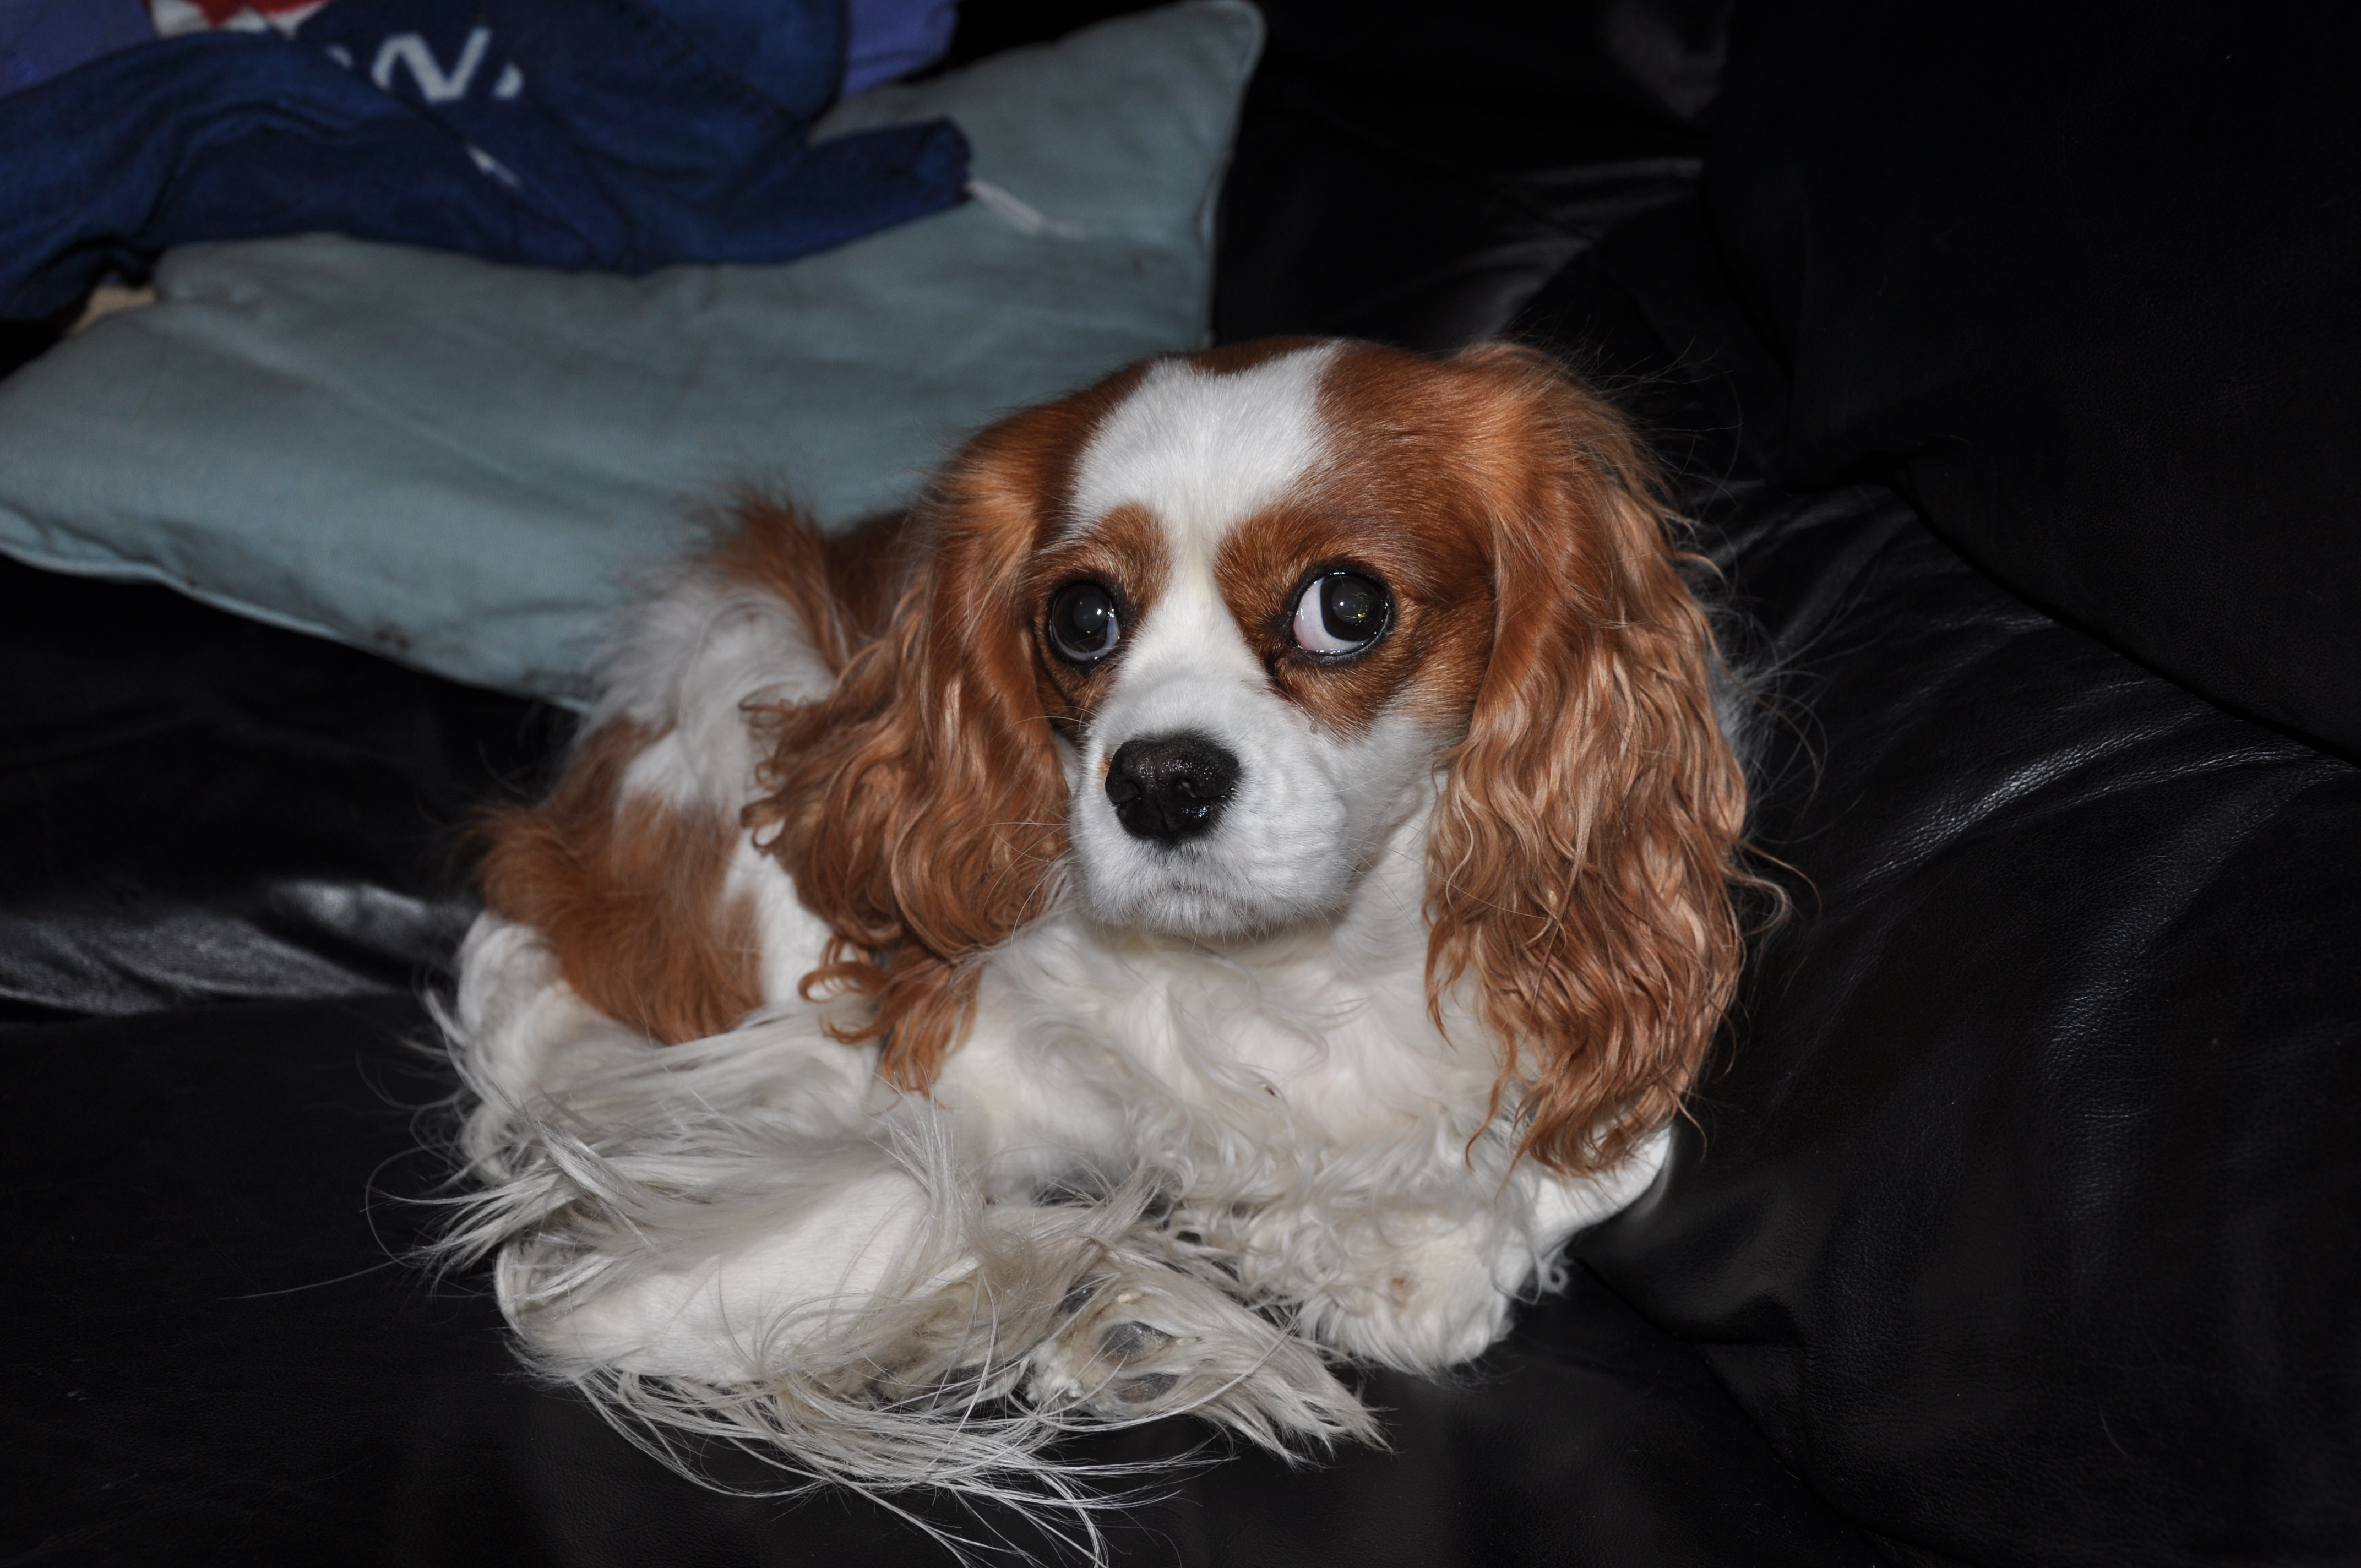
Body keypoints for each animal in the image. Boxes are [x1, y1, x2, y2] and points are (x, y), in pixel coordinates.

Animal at [441, 338, 1752, 1508]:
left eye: (1345, 605)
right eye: (1081, 617)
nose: (1159, 778)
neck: (1290, 968)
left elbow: (1561, 1194)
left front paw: (1349, 1254)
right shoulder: (858, 1065)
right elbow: (871, 1198)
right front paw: (1102, 1304)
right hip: (744, 697)